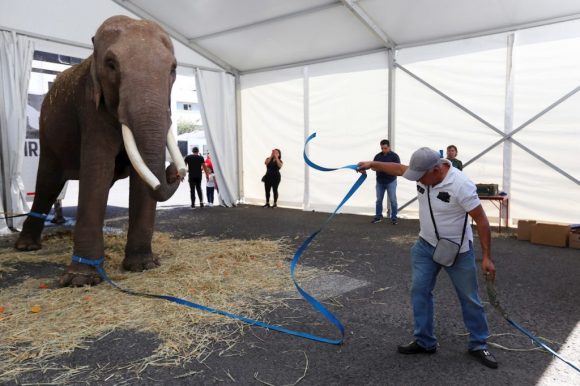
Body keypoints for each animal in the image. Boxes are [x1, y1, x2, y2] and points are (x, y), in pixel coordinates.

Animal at [14, 15, 186, 286]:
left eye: (173, 69)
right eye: (111, 65)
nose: (173, 172)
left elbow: (140, 178)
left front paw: (143, 266)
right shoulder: (90, 110)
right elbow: (98, 169)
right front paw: (80, 280)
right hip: (47, 135)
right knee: (48, 184)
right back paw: (27, 247)